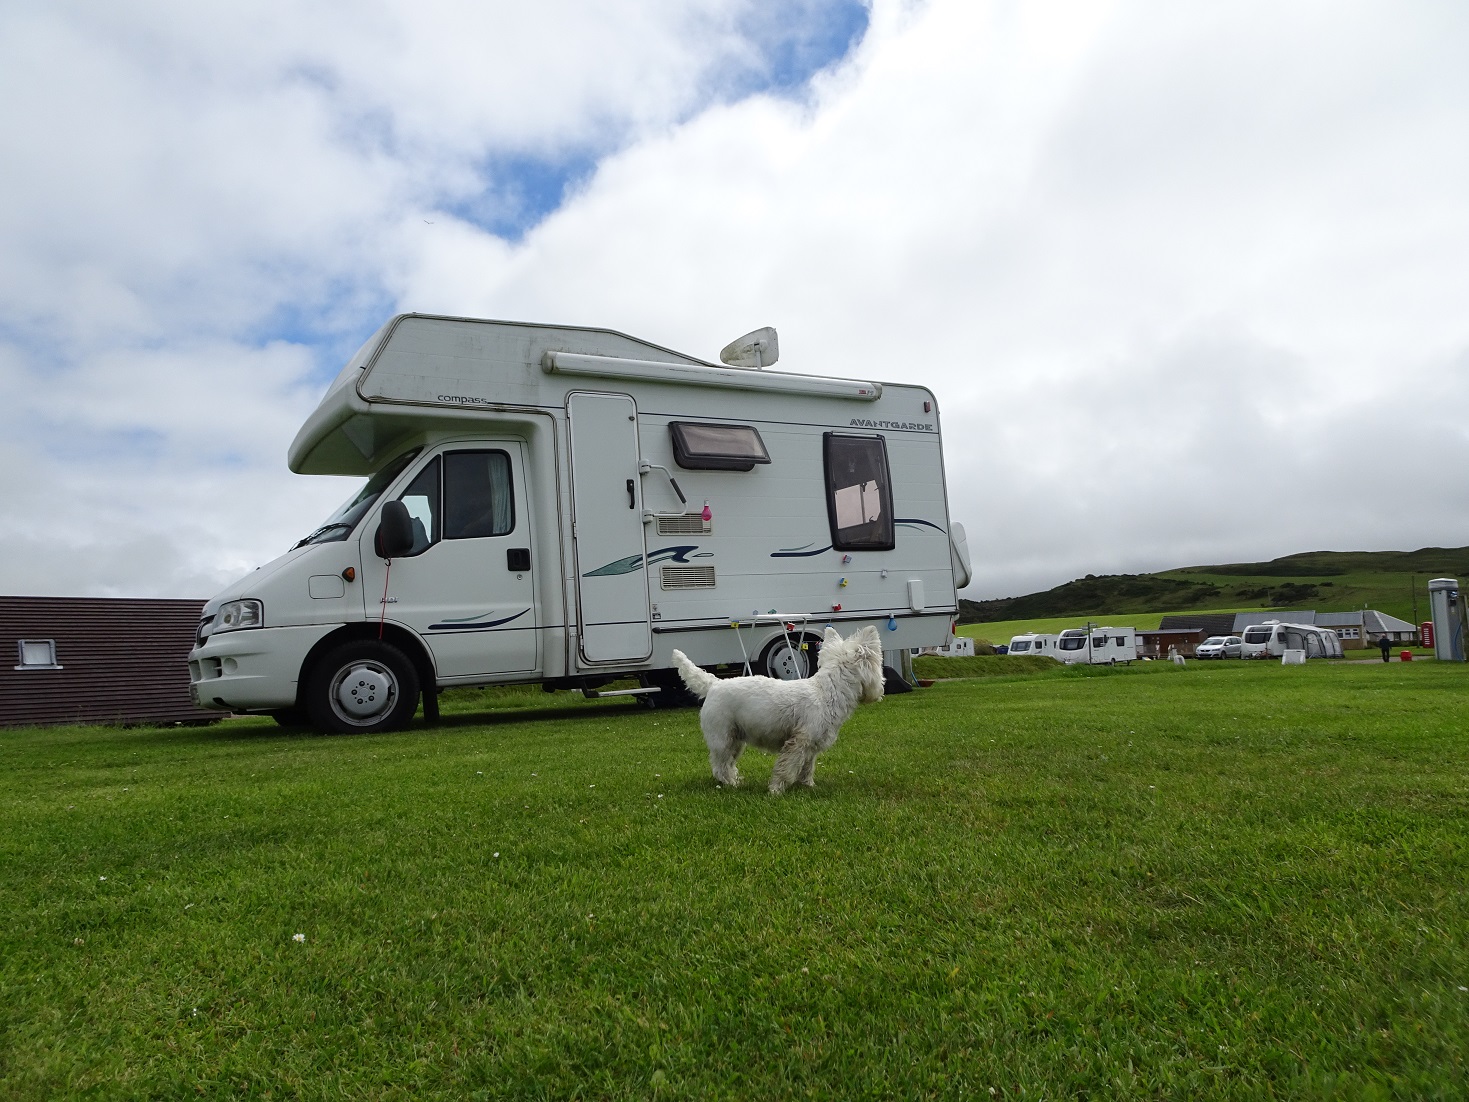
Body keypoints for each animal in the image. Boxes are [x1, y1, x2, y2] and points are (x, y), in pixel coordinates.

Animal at [672, 625, 881, 799]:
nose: (879, 691)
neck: (828, 692)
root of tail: (714, 684)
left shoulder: (811, 745)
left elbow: (807, 767)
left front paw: (808, 785)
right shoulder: (798, 742)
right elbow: (786, 768)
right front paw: (776, 791)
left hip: (736, 740)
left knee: (727, 764)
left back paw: (736, 781)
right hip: (723, 738)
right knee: (721, 766)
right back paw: (732, 785)